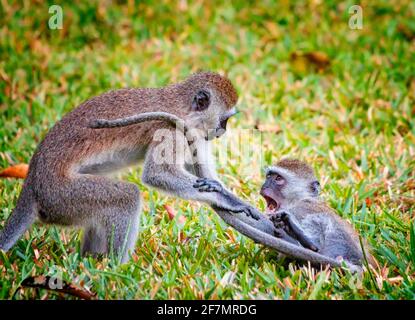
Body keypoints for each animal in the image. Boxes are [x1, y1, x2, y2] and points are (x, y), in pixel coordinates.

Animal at [0, 72, 262, 262]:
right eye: (224, 120)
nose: (222, 131)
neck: (183, 108)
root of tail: (32, 182)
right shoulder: (170, 130)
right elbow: (157, 174)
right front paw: (227, 201)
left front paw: (234, 199)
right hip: (60, 195)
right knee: (126, 197)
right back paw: (118, 267)